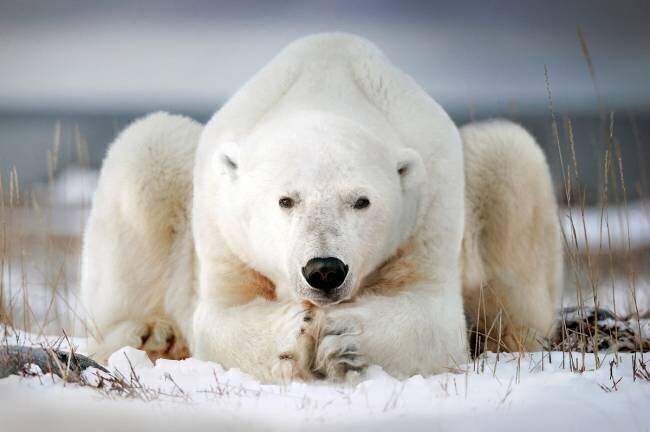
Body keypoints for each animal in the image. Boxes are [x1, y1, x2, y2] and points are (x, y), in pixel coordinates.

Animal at [81, 33, 562, 382]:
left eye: (361, 201)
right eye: (285, 200)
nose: (325, 270)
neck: (326, 86)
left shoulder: (430, 205)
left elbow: (434, 314)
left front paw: (343, 337)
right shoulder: (223, 227)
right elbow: (220, 316)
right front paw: (295, 333)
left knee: (508, 158)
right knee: (148, 149)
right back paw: (150, 335)